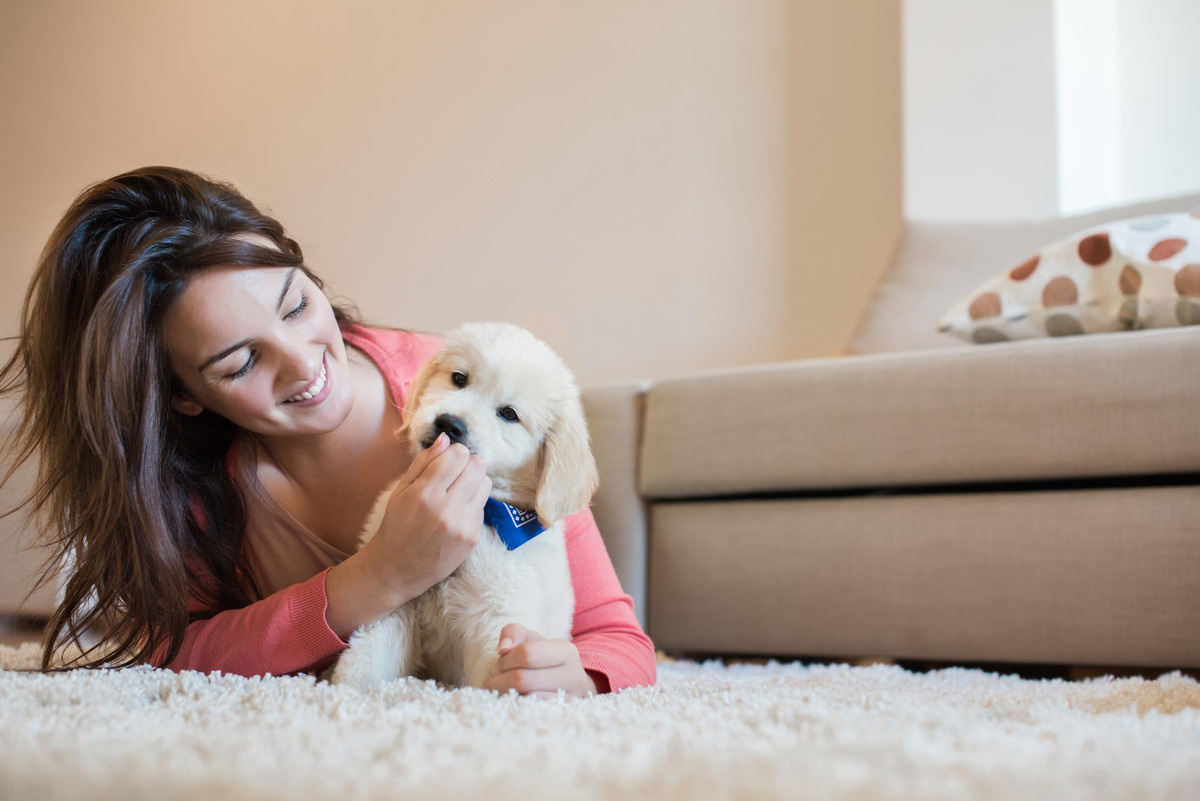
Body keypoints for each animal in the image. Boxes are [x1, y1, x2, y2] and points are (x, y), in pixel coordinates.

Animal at [328, 321, 600, 690]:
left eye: (509, 414)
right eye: (459, 378)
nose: (449, 424)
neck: (485, 512)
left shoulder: (497, 608)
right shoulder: (396, 597)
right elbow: (368, 653)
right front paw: (346, 689)